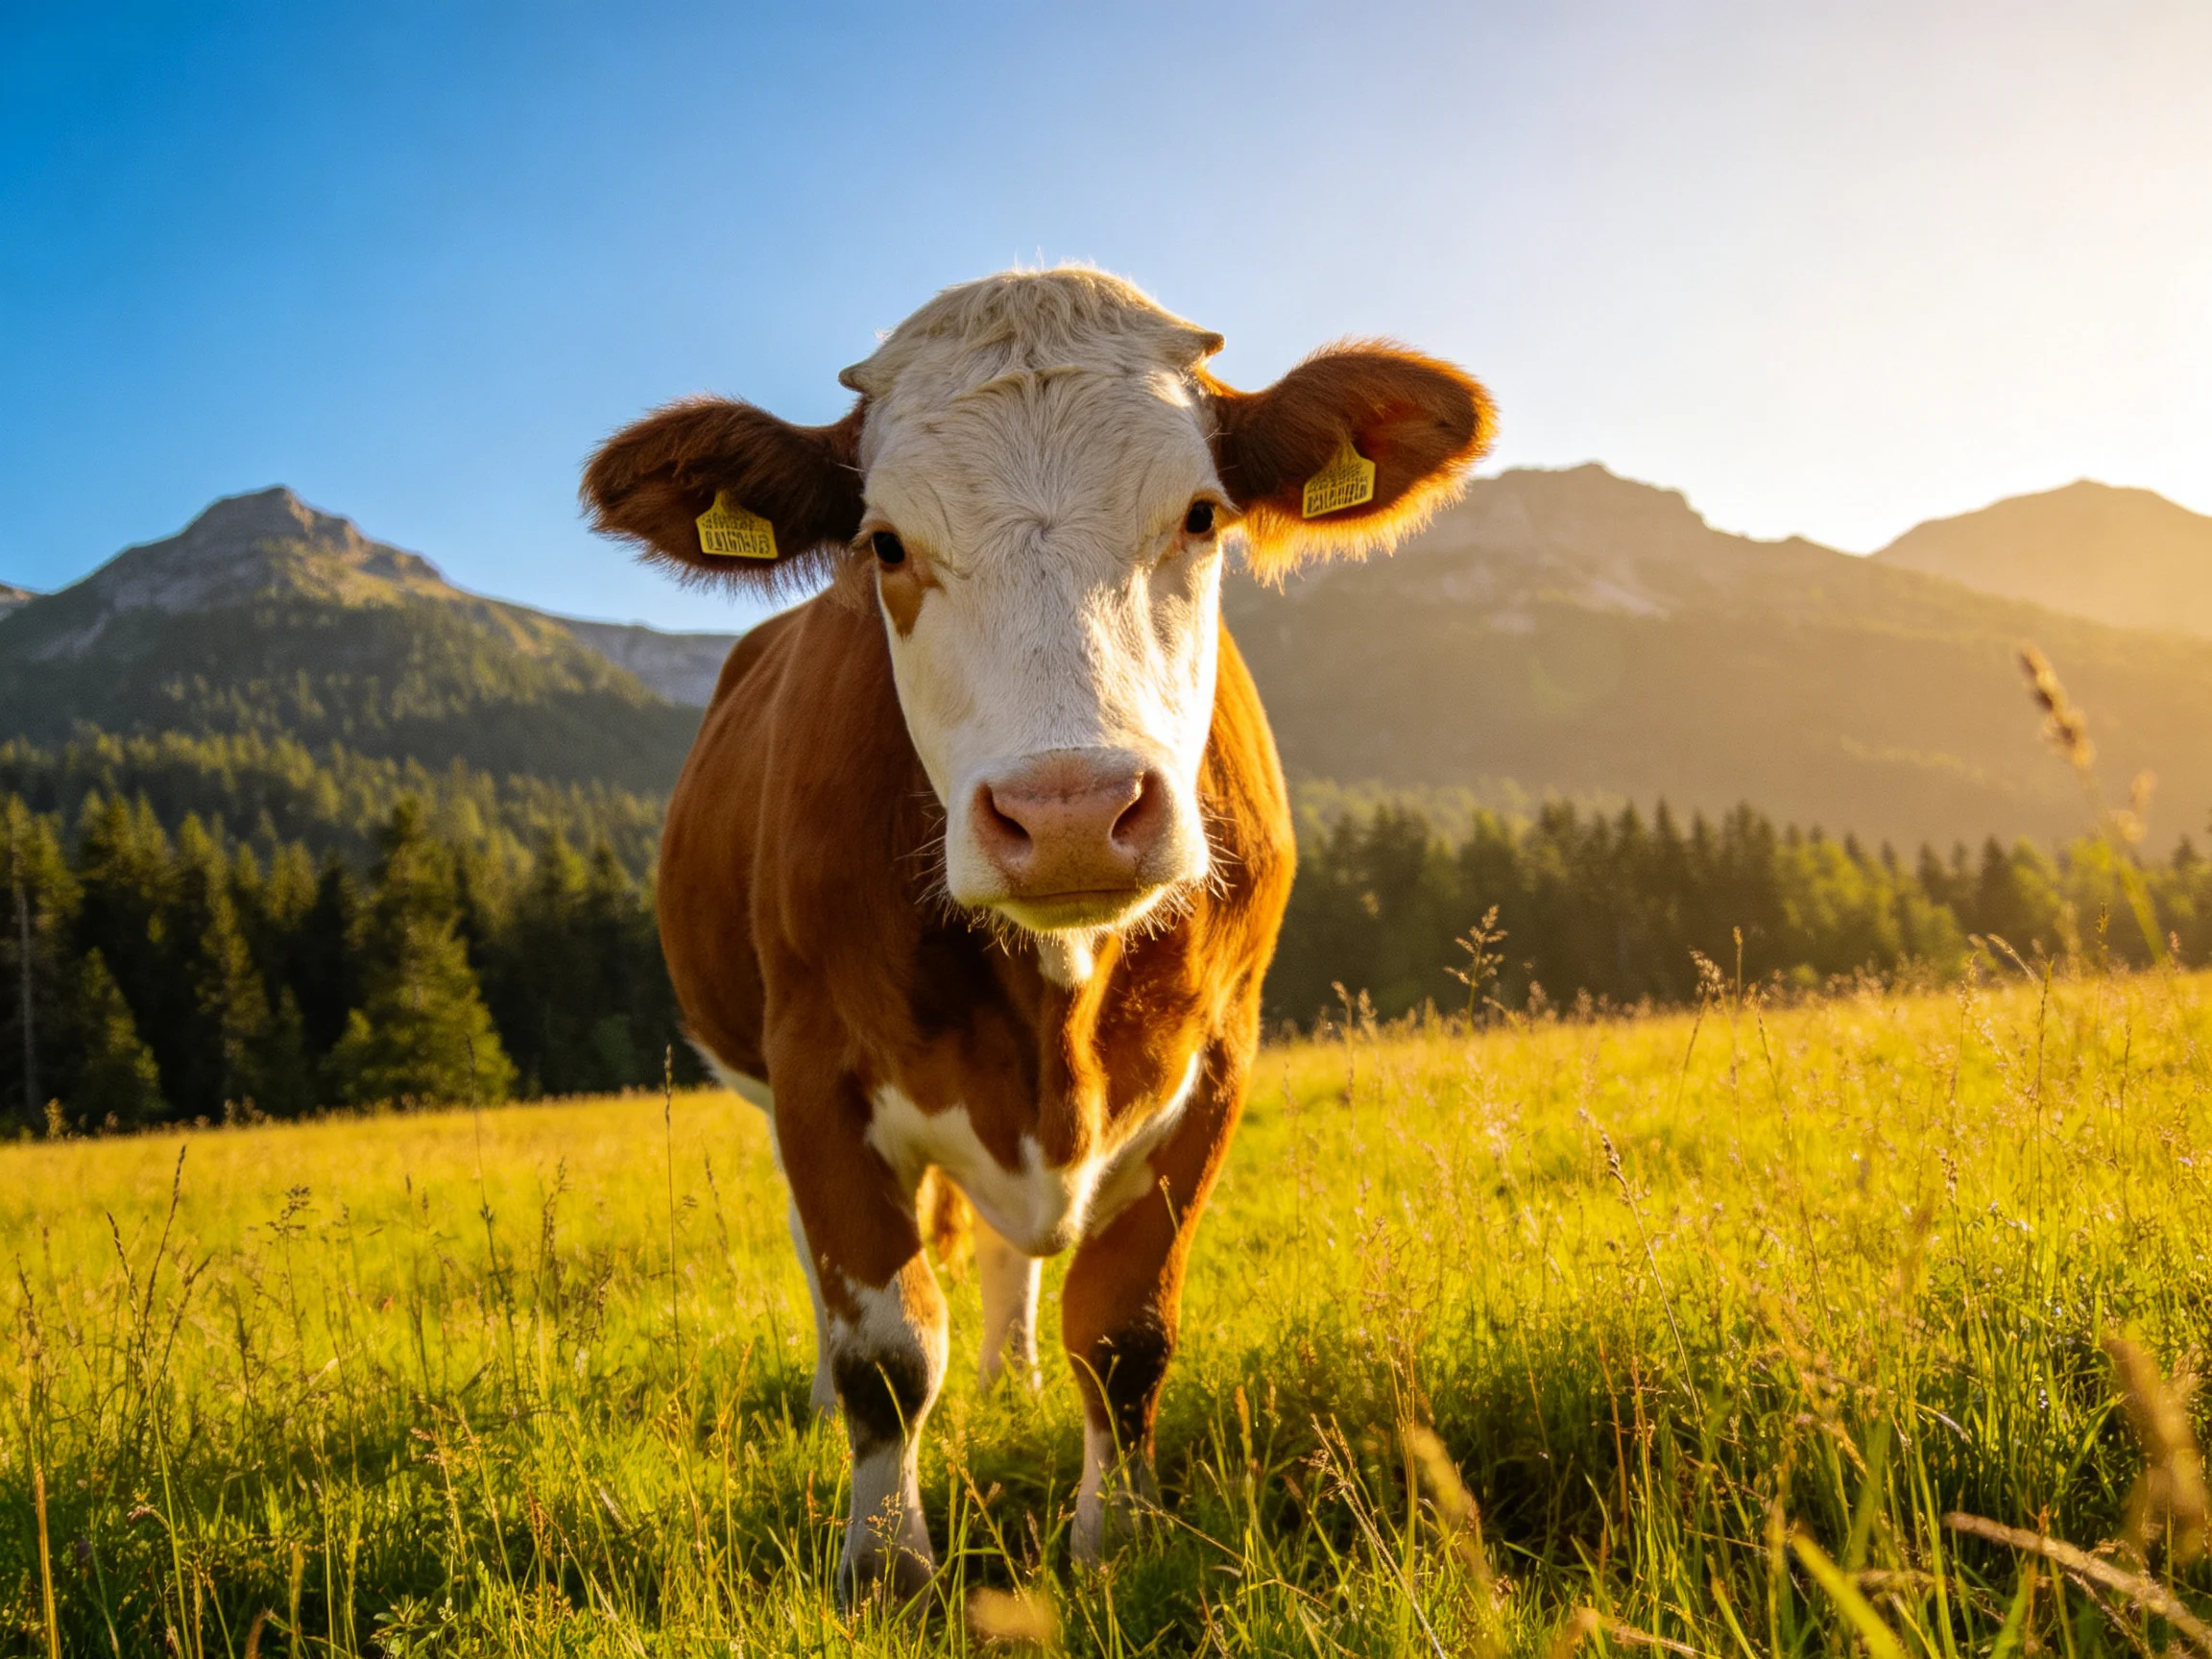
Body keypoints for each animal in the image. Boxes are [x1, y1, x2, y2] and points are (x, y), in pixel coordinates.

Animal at [582, 267, 1493, 1602]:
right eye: (884, 544)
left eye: (1202, 516)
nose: (1070, 813)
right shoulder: (815, 1066)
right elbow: (887, 1348)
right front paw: (887, 1571)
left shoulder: (1220, 1055)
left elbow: (1124, 1332)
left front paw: (1120, 1543)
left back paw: (1008, 1375)